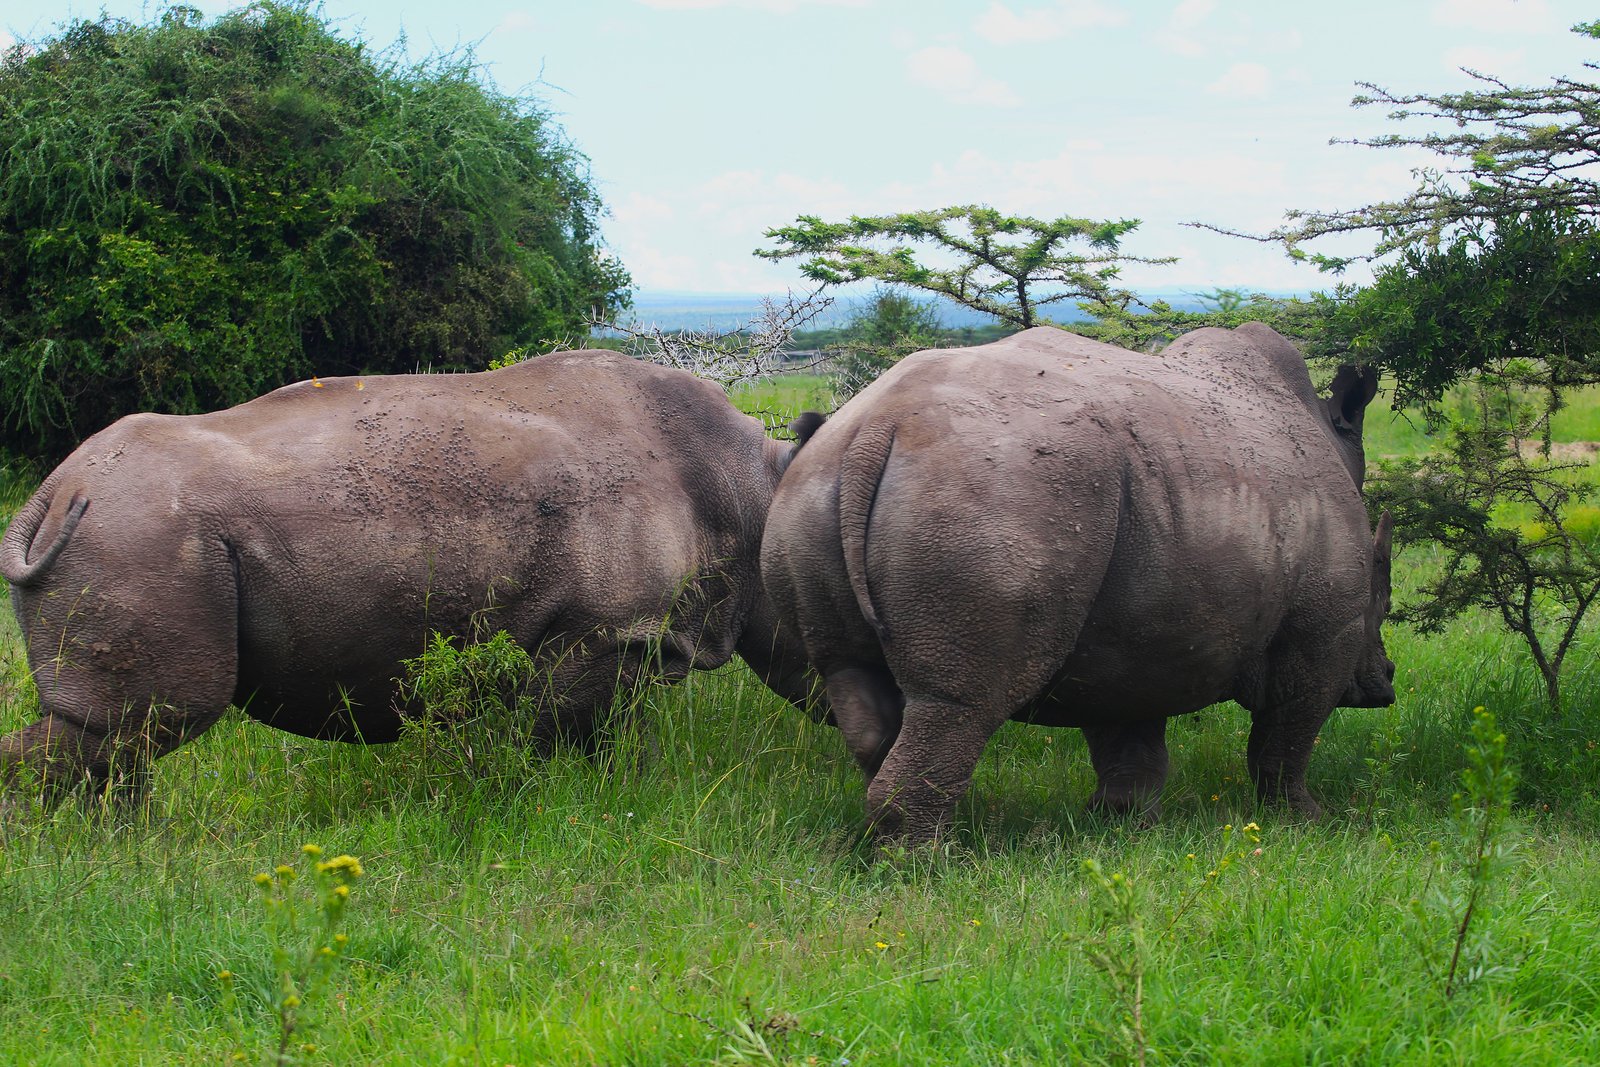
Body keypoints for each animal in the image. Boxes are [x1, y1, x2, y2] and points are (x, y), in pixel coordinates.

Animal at [0, 350, 814, 793]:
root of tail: (55, 491)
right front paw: (578, 805)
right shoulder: (604, 632)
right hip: (137, 532)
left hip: (126, 531)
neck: (754, 489)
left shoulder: (619, 634)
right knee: (146, 722)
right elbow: (574, 741)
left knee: (115, 737)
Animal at [761, 324, 1396, 842]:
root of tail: (878, 426)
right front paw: (1305, 821)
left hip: (815, 491)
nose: (1384, 685)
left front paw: (1124, 825)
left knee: (853, 678)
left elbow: (1130, 735)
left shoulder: (1138, 635)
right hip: (1000, 494)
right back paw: (929, 864)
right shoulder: (1324, 632)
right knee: (958, 703)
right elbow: (1287, 735)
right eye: (1382, 601)